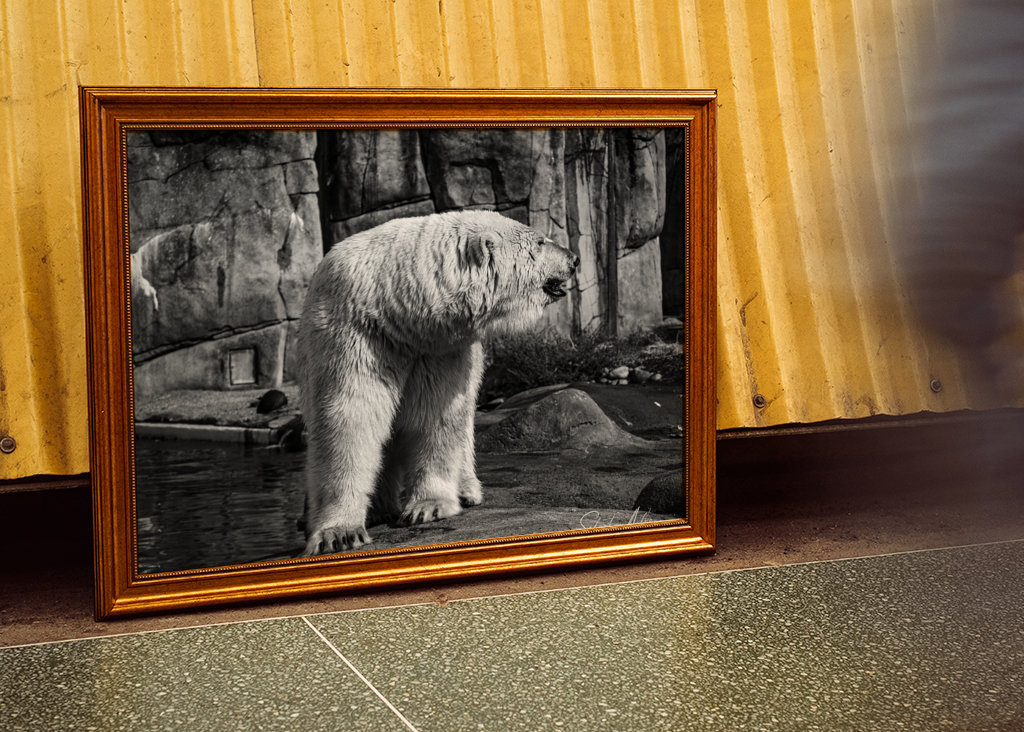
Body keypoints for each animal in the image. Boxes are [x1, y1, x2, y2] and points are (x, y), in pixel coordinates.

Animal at [296, 210, 580, 556]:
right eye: (540, 242)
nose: (574, 259)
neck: (396, 309)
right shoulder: (356, 333)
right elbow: (351, 417)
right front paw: (338, 533)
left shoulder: (439, 347)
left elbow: (434, 414)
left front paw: (428, 507)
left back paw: (467, 490)